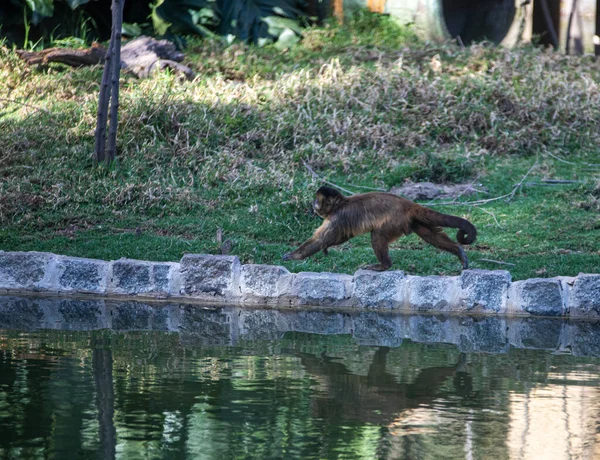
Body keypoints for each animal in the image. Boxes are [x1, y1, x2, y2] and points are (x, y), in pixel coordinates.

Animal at [282, 186, 478, 272]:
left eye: (317, 200)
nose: (313, 204)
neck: (340, 203)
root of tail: (406, 204)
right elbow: (341, 236)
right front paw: (326, 248)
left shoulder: (337, 216)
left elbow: (322, 239)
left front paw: (294, 256)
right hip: (408, 220)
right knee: (429, 234)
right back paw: (458, 251)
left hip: (394, 221)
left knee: (377, 234)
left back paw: (384, 265)